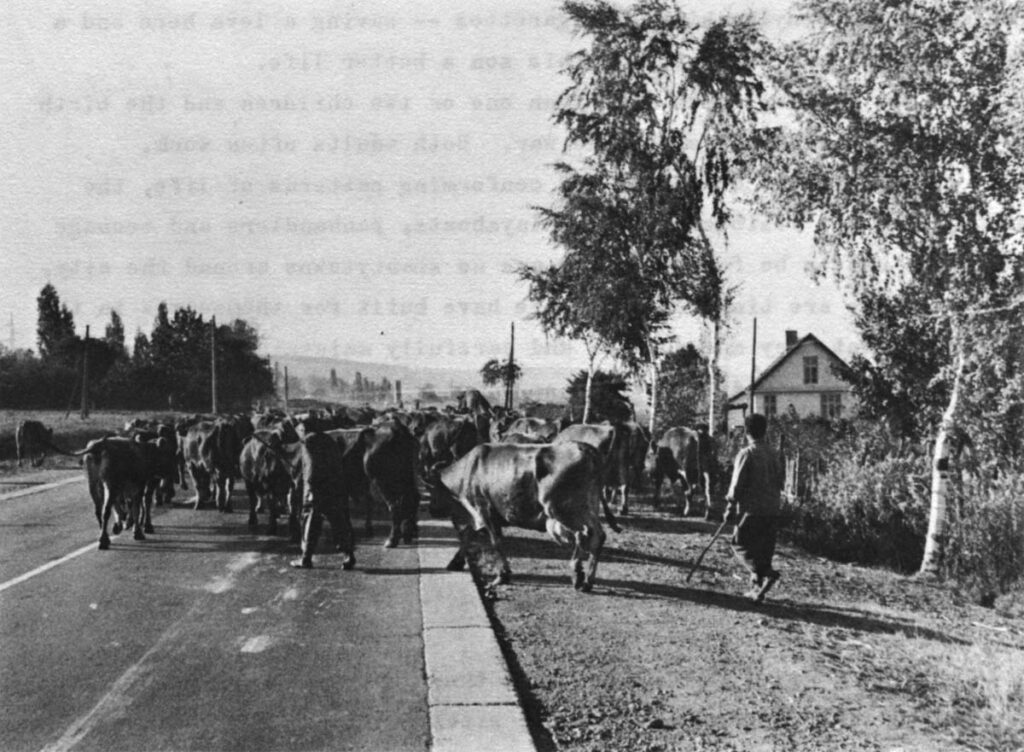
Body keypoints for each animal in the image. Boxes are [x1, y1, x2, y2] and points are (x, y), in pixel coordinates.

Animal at [428, 442, 610, 594]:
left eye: (432, 490)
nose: (431, 510)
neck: (466, 472)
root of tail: (585, 448)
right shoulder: (484, 517)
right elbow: (467, 537)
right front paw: (456, 562)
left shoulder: (484, 511)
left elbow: (495, 542)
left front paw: (502, 575)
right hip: (588, 507)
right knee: (596, 536)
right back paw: (586, 582)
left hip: (561, 509)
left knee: (584, 534)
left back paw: (577, 574)